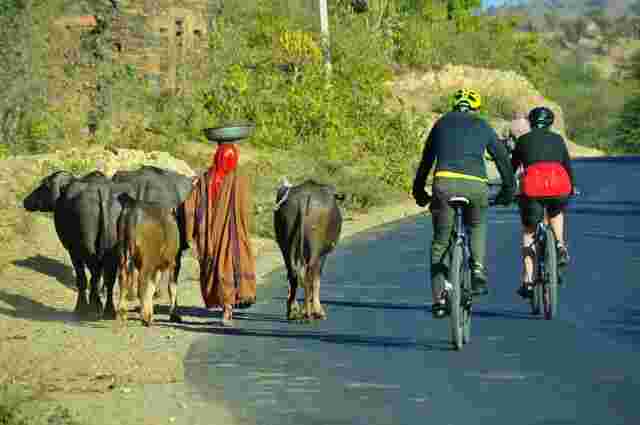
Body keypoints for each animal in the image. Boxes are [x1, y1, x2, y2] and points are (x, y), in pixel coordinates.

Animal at [114, 192, 180, 324]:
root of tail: (132, 209)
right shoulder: (173, 262)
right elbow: (171, 287)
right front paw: (174, 315)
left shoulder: (156, 266)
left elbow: (152, 287)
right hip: (147, 261)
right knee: (141, 282)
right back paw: (145, 318)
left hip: (123, 253)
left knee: (123, 278)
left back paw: (121, 313)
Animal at [276, 177, 344, 320]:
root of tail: (303, 198)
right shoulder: (323, 255)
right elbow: (316, 280)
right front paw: (317, 310)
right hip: (315, 249)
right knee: (309, 275)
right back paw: (309, 312)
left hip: (285, 246)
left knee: (293, 274)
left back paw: (293, 310)